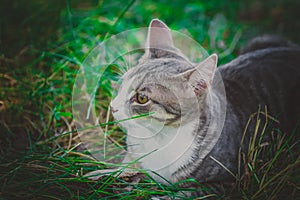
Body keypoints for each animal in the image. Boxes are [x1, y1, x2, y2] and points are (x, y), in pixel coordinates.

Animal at [106, 19, 298, 197]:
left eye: (142, 98)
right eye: (122, 84)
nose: (112, 107)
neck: (159, 139)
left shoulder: (226, 181)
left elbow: (185, 193)